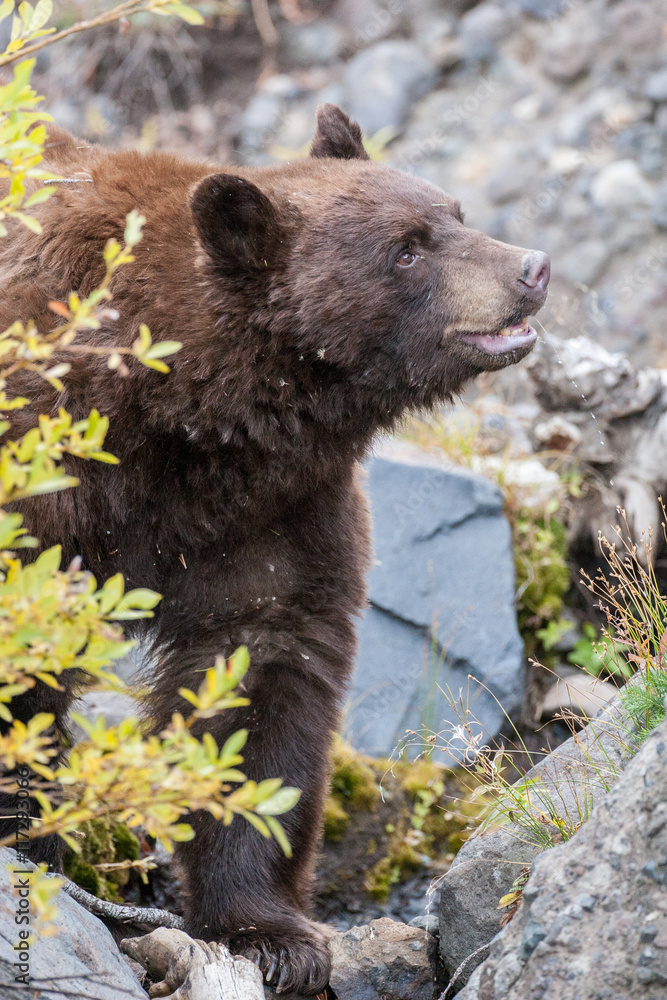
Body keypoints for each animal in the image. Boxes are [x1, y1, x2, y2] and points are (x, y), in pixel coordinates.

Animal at [0, 104, 549, 995]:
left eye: (454, 212)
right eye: (406, 248)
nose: (531, 267)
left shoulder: (272, 511)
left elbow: (262, 685)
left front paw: (267, 933)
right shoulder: (45, 467)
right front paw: (37, 844)